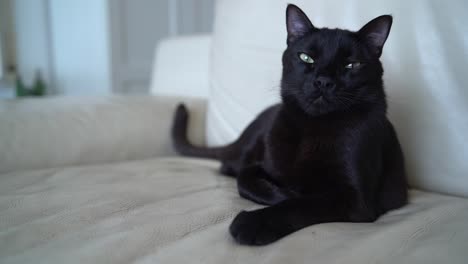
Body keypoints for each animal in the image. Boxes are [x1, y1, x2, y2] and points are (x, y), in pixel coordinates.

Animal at [171, 3, 406, 245]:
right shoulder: (263, 166)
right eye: (306, 58)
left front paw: (253, 223)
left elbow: (302, 204)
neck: (312, 125)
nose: (323, 81)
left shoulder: (355, 198)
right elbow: (246, 180)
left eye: (351, 65)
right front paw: (284, 193)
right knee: (231, 166)